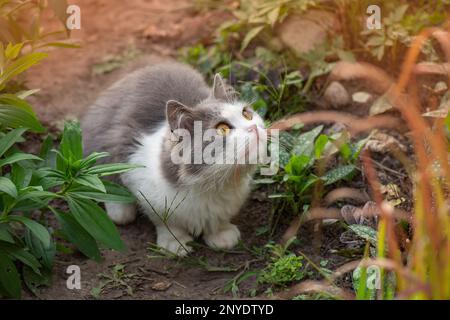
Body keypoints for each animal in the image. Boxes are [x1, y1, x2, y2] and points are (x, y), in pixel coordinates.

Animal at [80, 62, 266, 255]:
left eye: (247, 114)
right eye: (222, 129)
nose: (254, 127)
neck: (216, 185)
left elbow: (218, 220)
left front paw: (221, 235)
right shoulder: (137, 170)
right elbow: (166, 222)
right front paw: (174, 244)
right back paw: (120, 210)